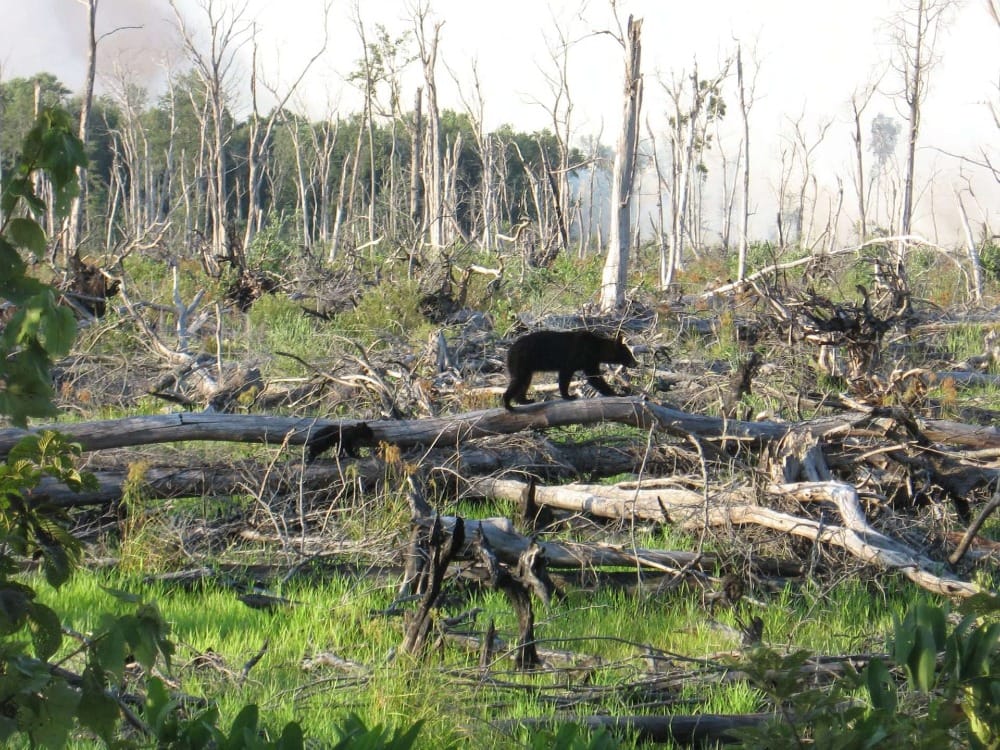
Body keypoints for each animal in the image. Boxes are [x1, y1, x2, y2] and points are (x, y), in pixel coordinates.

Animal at [503, 330, 637, 410]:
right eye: (629, 354)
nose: (636, 363)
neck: (596, 349)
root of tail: (509, 350)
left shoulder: (590, 361)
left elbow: (594, 377)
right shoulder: (577, 357)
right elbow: (567, 375)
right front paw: (569, 395)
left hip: (526, 366)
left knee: (525, 381)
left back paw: (525, 400)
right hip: (521, 360)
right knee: (518, 380)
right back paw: (508, 404)